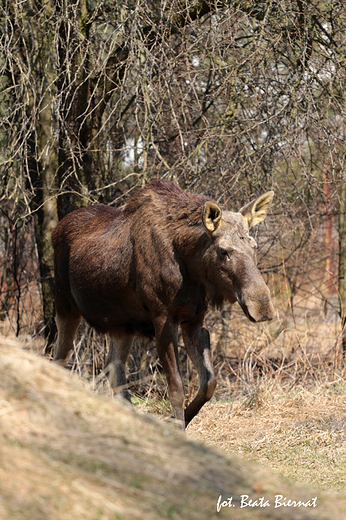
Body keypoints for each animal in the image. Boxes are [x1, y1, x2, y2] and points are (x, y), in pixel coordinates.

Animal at [52, 181, 274, 428]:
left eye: (254, 246)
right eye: (223, 250)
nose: (262, 306)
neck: (191, 265)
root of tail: (56, 227)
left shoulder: (194, 319)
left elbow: (209, 382)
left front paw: (176, 421)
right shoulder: (163, 319)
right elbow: (176, 387)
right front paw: (178, 426)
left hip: (122, 326)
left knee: (114, 368)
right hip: (65, 305)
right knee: (59, 358)